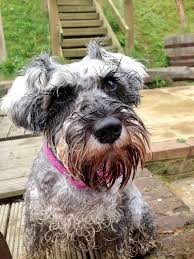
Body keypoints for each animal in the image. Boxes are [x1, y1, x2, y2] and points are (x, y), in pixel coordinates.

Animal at [1, 43, 155, 258]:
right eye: (61, 94)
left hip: (138, 209)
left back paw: (142, 244)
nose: (109, 129)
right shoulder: (37, 228)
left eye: (110, 83)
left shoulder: (116, 226)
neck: (79, 179)